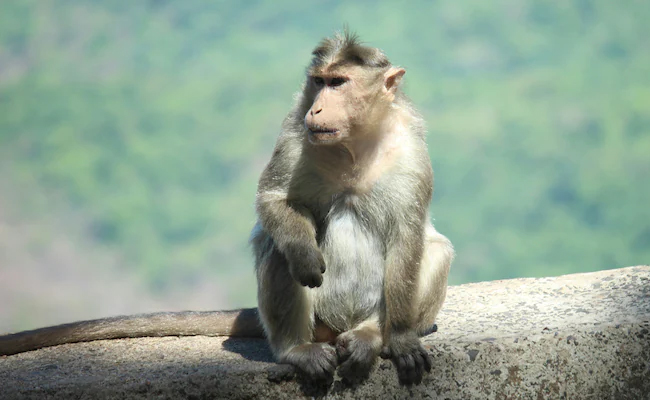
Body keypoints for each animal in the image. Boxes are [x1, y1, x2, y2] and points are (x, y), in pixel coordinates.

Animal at [0, 31, 453, 387]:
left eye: (339, 82)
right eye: (319, 82)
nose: (318, 107)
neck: (354, 144)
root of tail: (333, 328)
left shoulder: (412, 150)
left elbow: (408, 234)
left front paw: (400, 339)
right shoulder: (295, 128)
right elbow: (274, 201)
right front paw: (305, 254)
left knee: (434, 250)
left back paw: (371, 336)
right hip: (314, 320)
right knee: (277, 248)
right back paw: (296, 349)